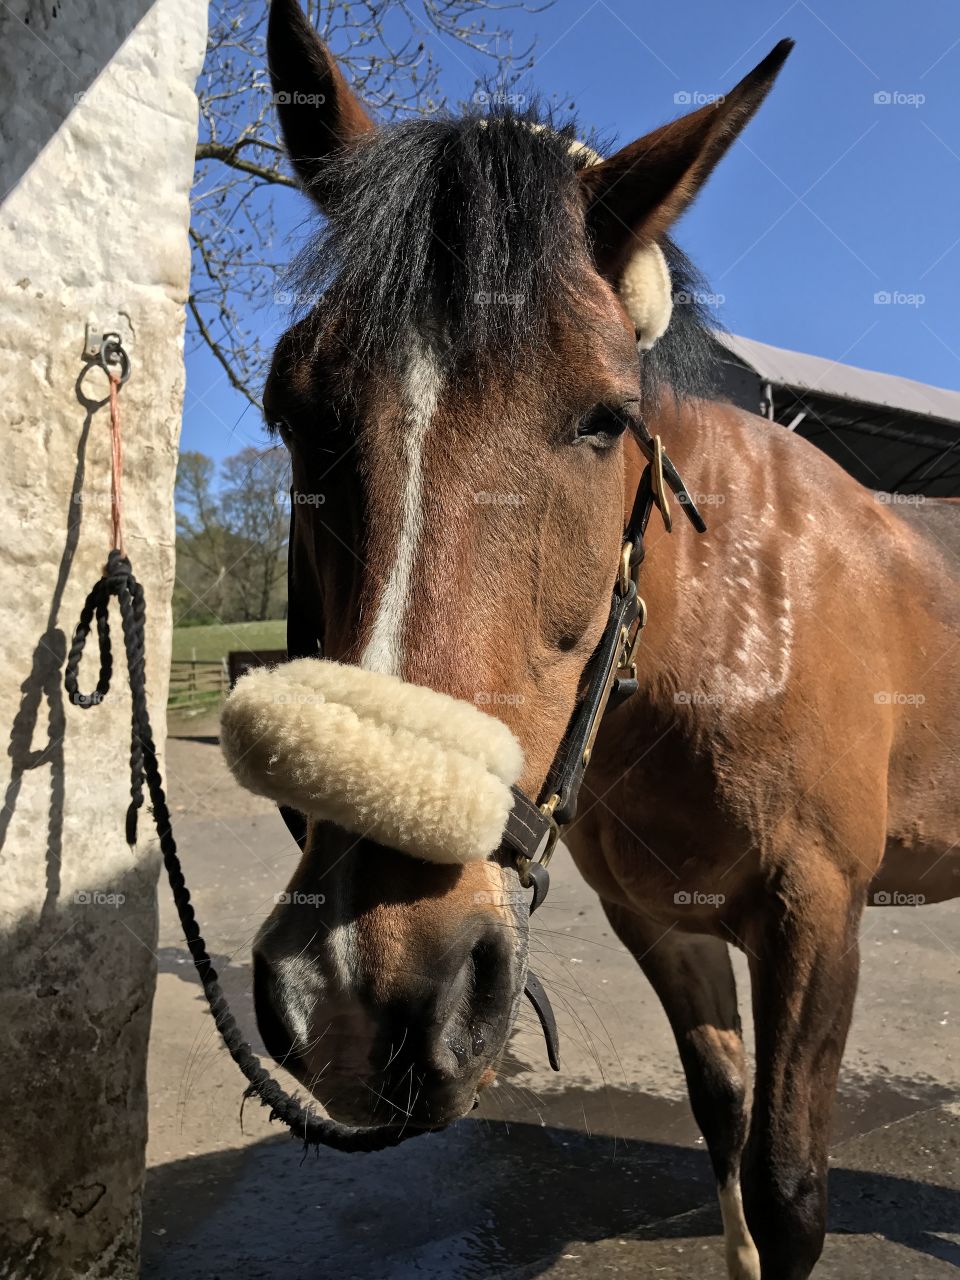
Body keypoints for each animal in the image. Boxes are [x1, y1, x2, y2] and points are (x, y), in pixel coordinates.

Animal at [241, 5, 960, 1274]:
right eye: (294, 406)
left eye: (604, 417)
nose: (368, 986)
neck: (728, 634)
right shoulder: (659, 921)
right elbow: (723, 1113)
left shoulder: (820, 915)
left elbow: (788, 1185)